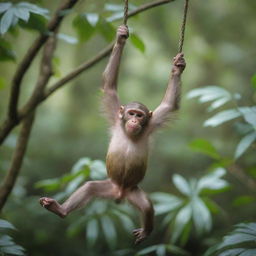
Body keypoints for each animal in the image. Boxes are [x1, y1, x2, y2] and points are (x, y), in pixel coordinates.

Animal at [39, 24, 185, 244]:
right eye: (131, 113)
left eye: (140, 115)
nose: (134, 121)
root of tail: (119, 193)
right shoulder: (115, 113)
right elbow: (109, 87)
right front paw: (121, 38)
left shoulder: (154, 121)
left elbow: (168, 104)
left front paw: (177, 68)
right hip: (108, 186)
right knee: (89, 188)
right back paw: (61, 209)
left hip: (134, 192)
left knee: (147, 206)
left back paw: (146, 231)